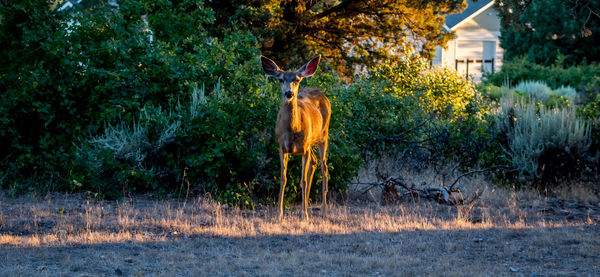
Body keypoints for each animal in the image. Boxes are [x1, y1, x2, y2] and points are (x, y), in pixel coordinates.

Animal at [260, 55, 330, 219]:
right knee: (315, 162)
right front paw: (279, 214)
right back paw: (306, 206)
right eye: (280, 79)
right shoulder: (281, 147)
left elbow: (302, 180)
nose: (289, 93)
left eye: (297, 80)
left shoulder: (304, 148)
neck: (292, 129)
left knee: (324, 167)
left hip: (323, 136)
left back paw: (323, 210)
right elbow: (283, 178)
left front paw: (305, 215)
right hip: (311, 143)